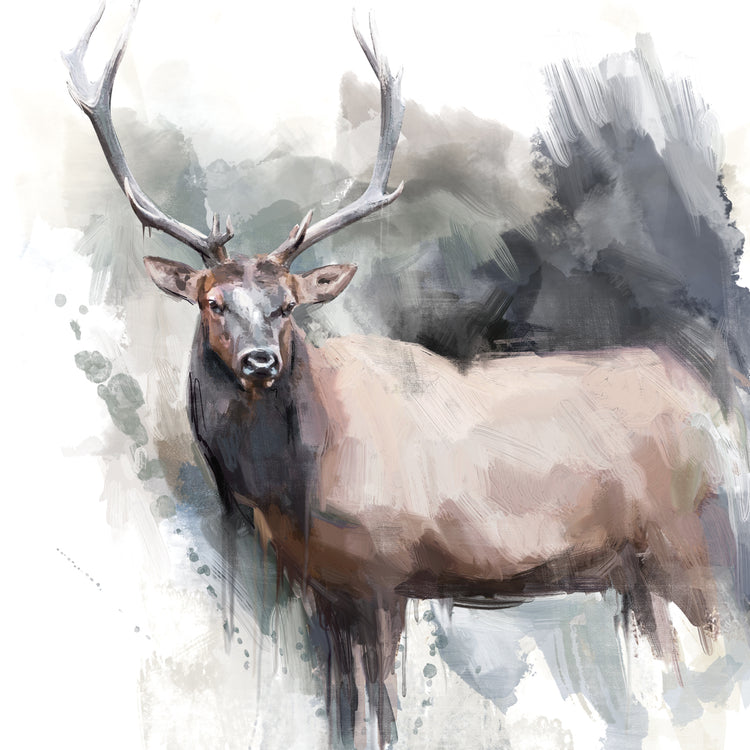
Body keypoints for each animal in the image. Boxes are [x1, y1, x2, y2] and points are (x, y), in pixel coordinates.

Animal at [65, 2, 746, 748]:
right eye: (213, 302)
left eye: (287, 305)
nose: (260, 360)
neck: (293, 489)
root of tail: (709, 406)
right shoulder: (321, 591)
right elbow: (339, 711)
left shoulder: (384, 572)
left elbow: (384, 713)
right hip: (636, 571)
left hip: (687, 537)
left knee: (714, 651)